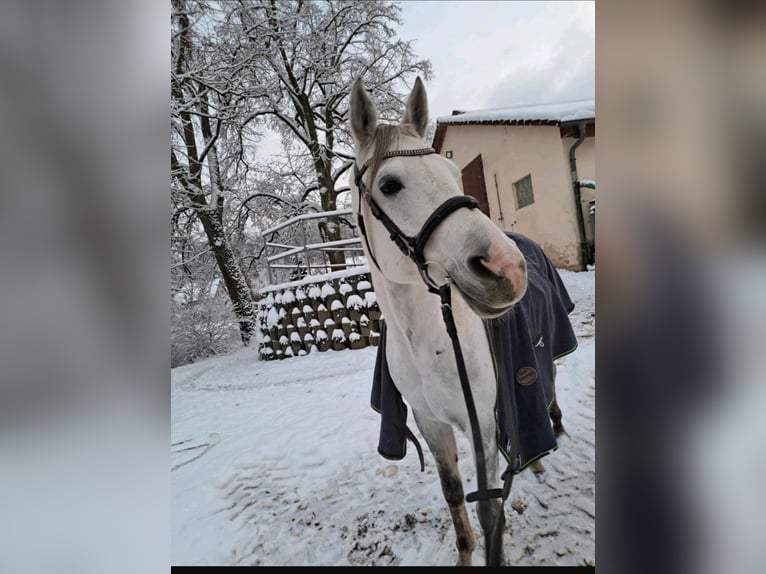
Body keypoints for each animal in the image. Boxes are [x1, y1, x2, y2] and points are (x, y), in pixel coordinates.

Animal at [348, 76, 536, 568]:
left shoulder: (482, 424)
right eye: (390, 184)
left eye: (454, 175)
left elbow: (491, 513)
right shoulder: (431, 425)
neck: (426, 342)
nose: (507, 269)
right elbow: (455, 501)